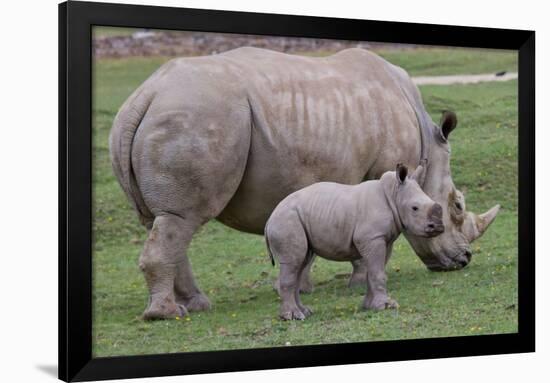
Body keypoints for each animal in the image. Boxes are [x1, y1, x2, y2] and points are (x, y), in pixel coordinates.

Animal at [266, 163, 446, 320]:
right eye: (415, 208)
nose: (438, 227)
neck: (393, 193)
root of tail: (269, 220)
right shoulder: (372, 237)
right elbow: (377, 272)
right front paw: (385, 306)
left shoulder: (382, 239)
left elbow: (373, 272)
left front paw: (370, 306)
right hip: (286, 221)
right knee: (293, 262)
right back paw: (292, 317)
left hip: (296, 220)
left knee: (301, 262)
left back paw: (304, 312)